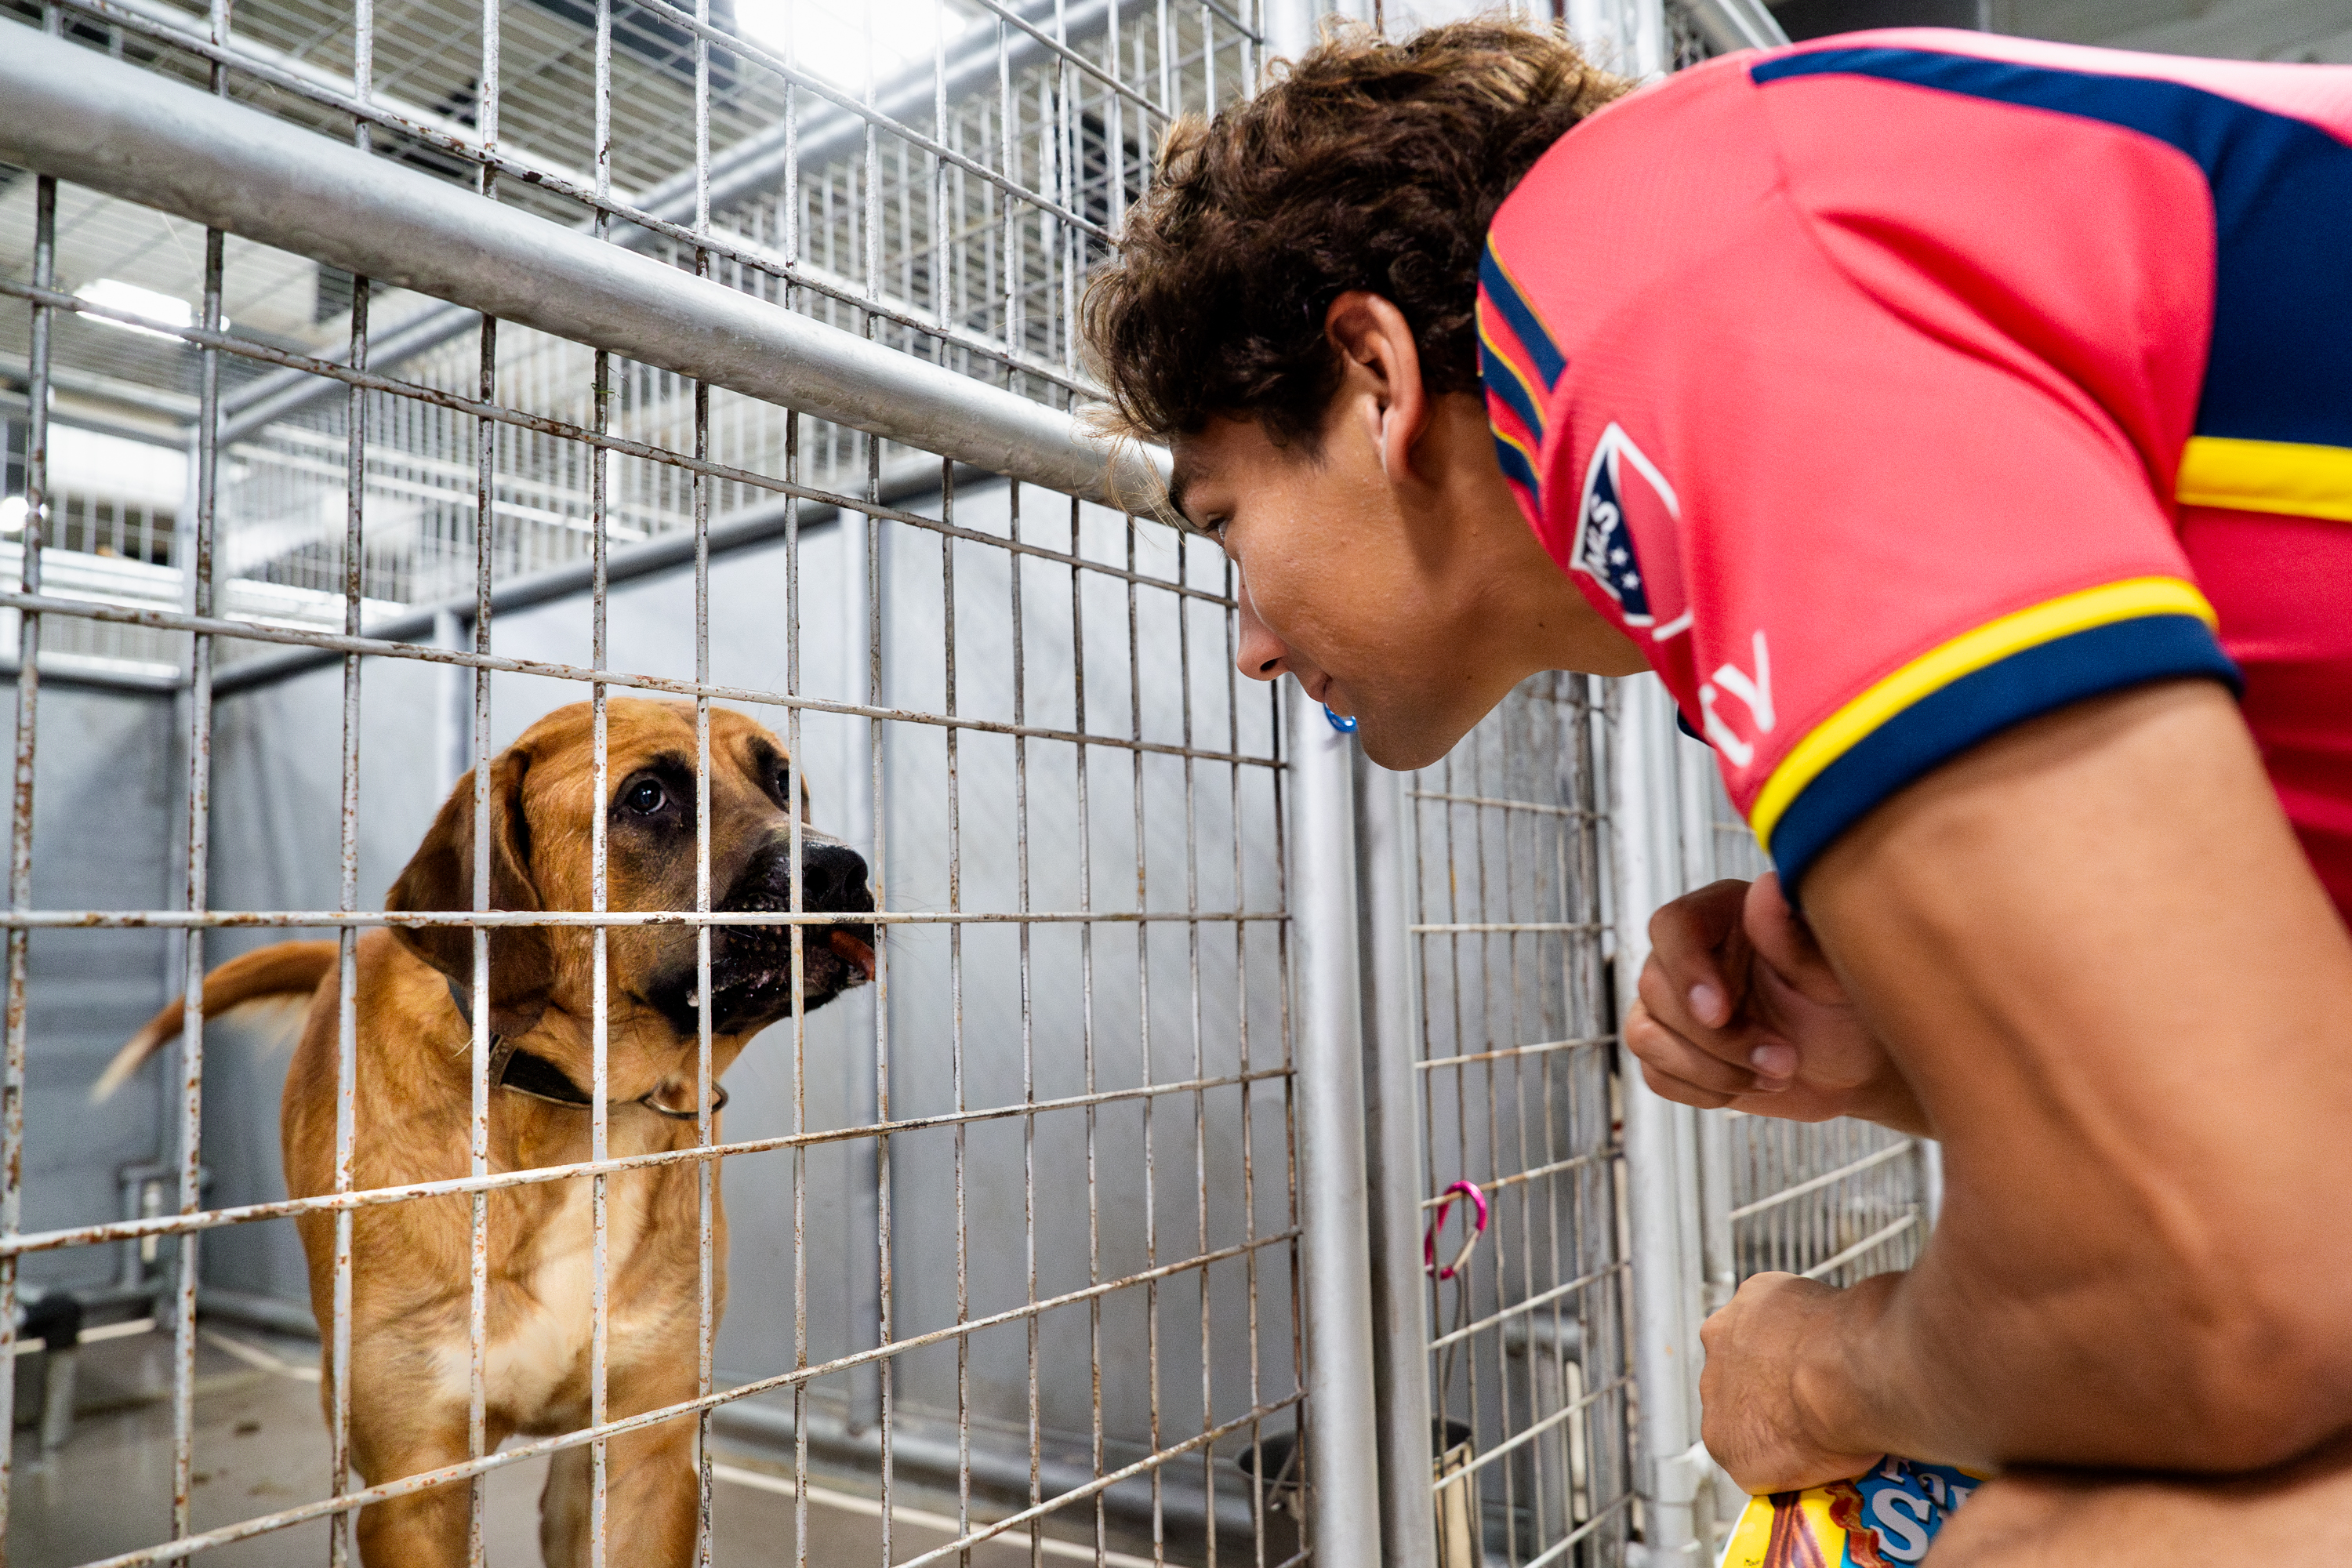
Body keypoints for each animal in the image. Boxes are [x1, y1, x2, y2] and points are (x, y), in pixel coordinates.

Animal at [96, 700, 880, 1568]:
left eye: (781, 781)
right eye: (646, 796)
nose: (842, 870)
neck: (584, 1111)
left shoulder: (641, 1455)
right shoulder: (417, 1481)